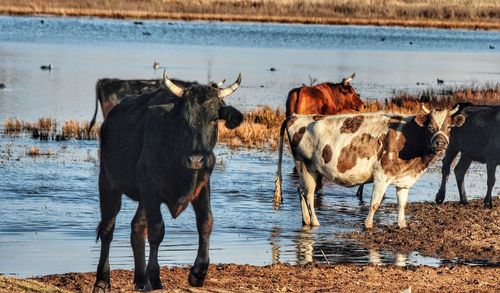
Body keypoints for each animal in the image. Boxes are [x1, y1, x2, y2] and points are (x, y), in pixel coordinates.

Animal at [94, 69, 244, 290]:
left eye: (214, 119)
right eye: (183, 119)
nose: (196, 159)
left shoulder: (202, 185)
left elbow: (206, 222)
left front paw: (198, 272)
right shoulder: (150, 190)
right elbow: (157, 231)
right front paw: (155, 277)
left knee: (137, 227)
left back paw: (141, 280)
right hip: (108, 182)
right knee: (107, 228)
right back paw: (103, 280)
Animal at [274, 105, 464, 228]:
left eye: (449, 127)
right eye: (430, 127)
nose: (440, 142)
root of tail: (297, 116)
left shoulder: (404, 178)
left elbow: (402, 204)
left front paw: (402, 224)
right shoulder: (381, 175)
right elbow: (375, 203)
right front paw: (368, 224)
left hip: (307, 170)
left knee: (300, 190)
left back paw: (305, 219)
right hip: (306, 166)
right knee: (308, 194)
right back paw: (315, 222)